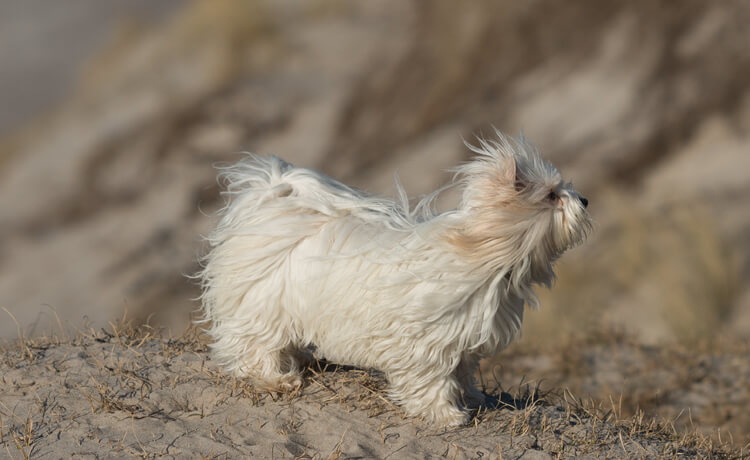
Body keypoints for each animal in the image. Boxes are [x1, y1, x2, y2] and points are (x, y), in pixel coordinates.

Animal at [198, 132, 592, 424]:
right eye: (552, 195)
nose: (585, 200)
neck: (477, 252)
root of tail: (271, 201)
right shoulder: (425, 341)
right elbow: (431, 380)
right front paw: (446, 415)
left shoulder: (462, 337)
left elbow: (463, 371)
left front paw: (472, 398)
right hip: (260, 309)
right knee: (254, 347)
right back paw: (275, 380)